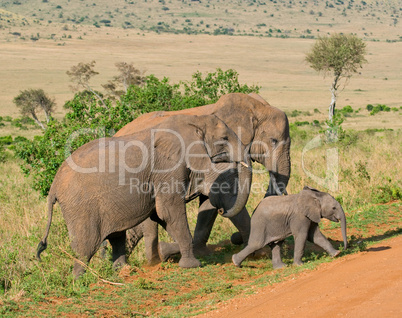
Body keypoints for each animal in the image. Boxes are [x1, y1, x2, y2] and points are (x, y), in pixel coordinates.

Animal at [37, 114, 251, 278]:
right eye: (224, 138)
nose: (222, 210)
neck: (192, 120)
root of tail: (54, 185)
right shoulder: (167, 168)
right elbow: (169, 211)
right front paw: (192, 265)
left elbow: (162, 215)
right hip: (80, 207)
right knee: (86, 246)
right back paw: (80, 281)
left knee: (117, 236)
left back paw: (123, 271)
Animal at [114, 92, 290, 264]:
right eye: (273, 141)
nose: (235, 238)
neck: (255, 107)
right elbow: (227, 196)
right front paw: (261, 253)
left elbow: (209, 202)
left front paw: (201, 252)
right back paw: (153, 261)